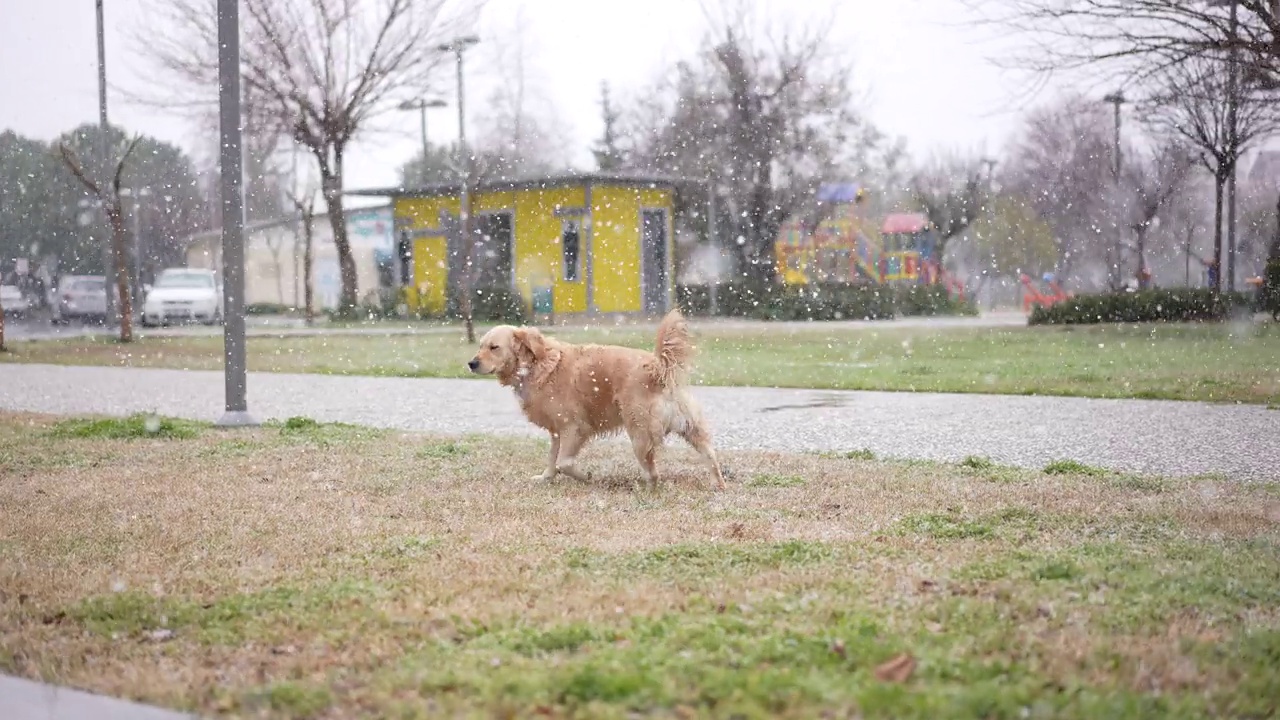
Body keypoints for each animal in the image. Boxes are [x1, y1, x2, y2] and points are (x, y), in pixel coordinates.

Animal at [471, 308, 732, 486]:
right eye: (480, 346)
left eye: (494, 347)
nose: (471, 363)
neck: (537, 364)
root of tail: (657, 366)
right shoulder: (557, 430)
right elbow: (552, 459)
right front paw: (546, 477)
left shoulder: (574, 427)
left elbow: (564, 463)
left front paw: (586, 476)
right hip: (689, 425)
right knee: (709, 455)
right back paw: (717, 484)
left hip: (639, 432)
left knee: (653, 472)